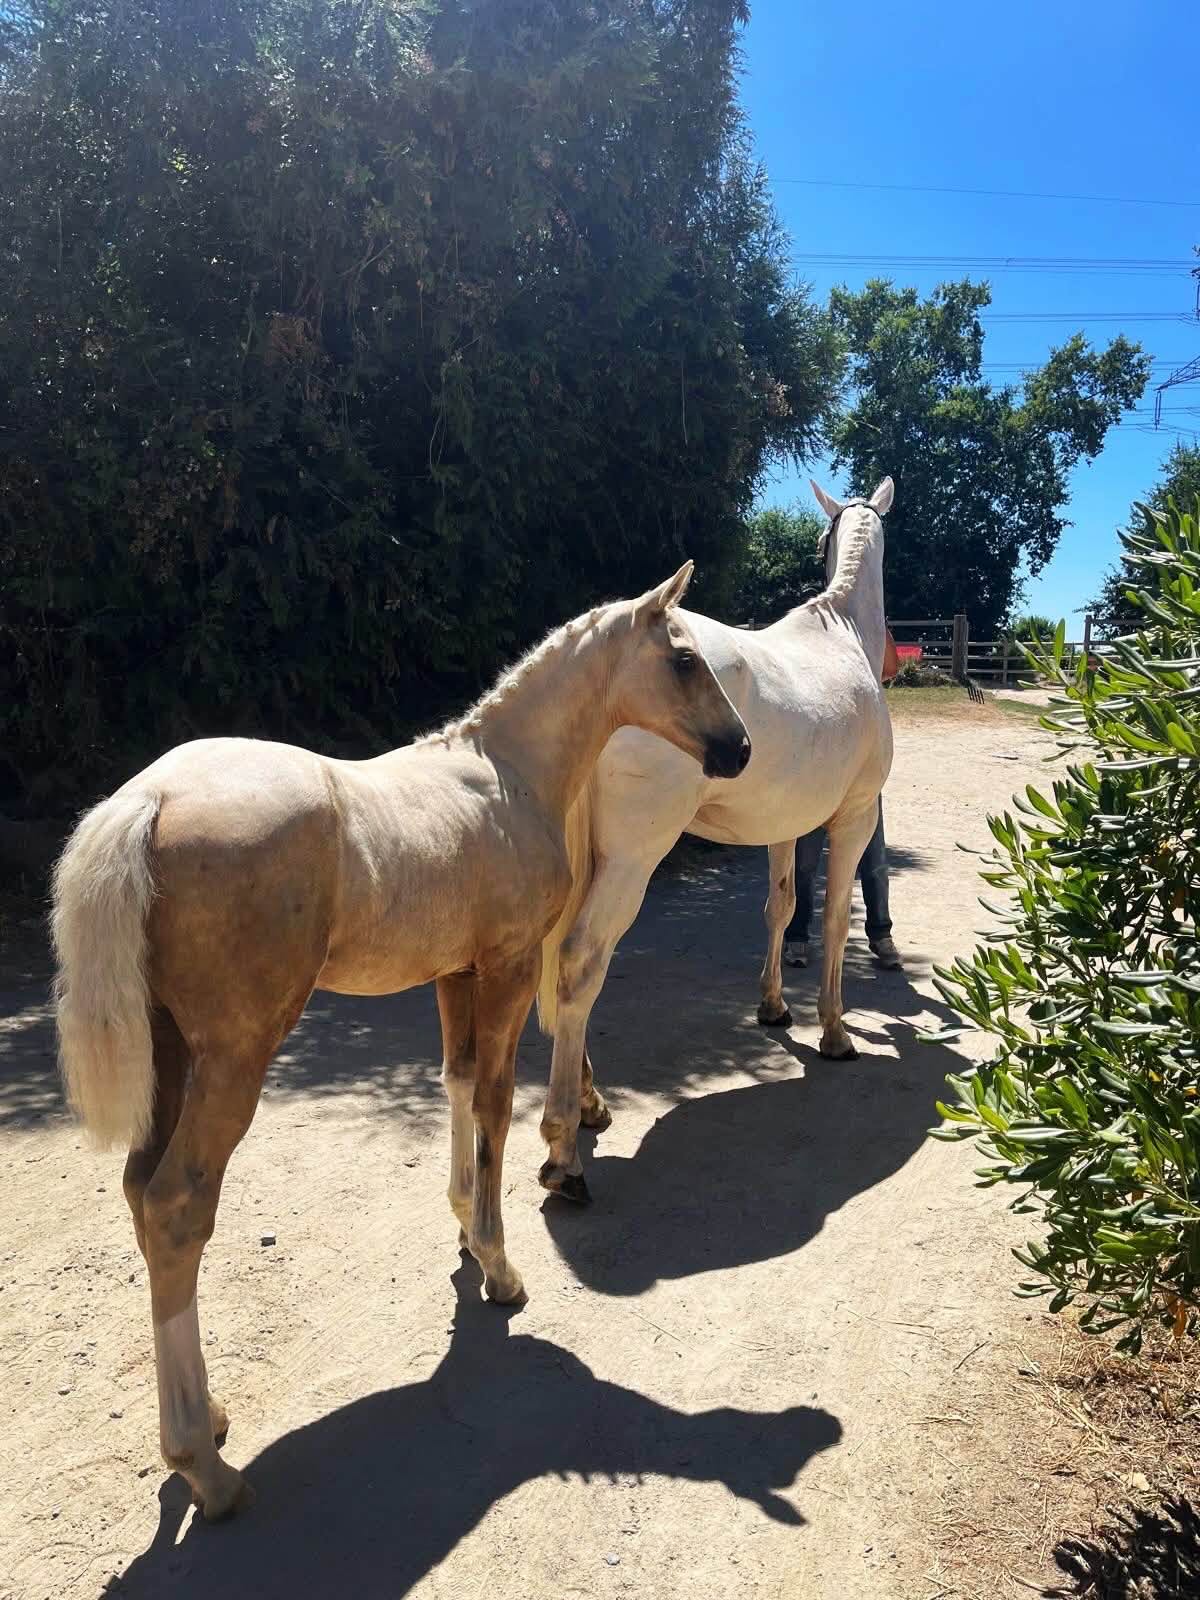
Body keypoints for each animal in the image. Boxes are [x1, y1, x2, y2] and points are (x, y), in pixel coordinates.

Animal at [50, 562, 750, 1520]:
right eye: (683, 658)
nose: (739, 750)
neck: (508, 776)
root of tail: (146, 800)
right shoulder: (505, 968)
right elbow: (493, 1100)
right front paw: (498, 1265)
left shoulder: (455, 975)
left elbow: (456, 1082)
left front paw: (463, 1229)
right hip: (235, 1053)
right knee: (176, 1206)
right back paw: (205, 1467)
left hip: (171, 1050)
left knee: (136, 1190)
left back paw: (213, 1418)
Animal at [535, 478, 894, 1203]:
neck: (842, 637)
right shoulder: (853, 817)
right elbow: (835, 919)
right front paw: (835, 1032)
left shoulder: (786, 827)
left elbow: (782, 910)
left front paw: (774, 1008)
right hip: (630, 861)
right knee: (581, 959)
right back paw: (565, 1153)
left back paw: (589, 1102)